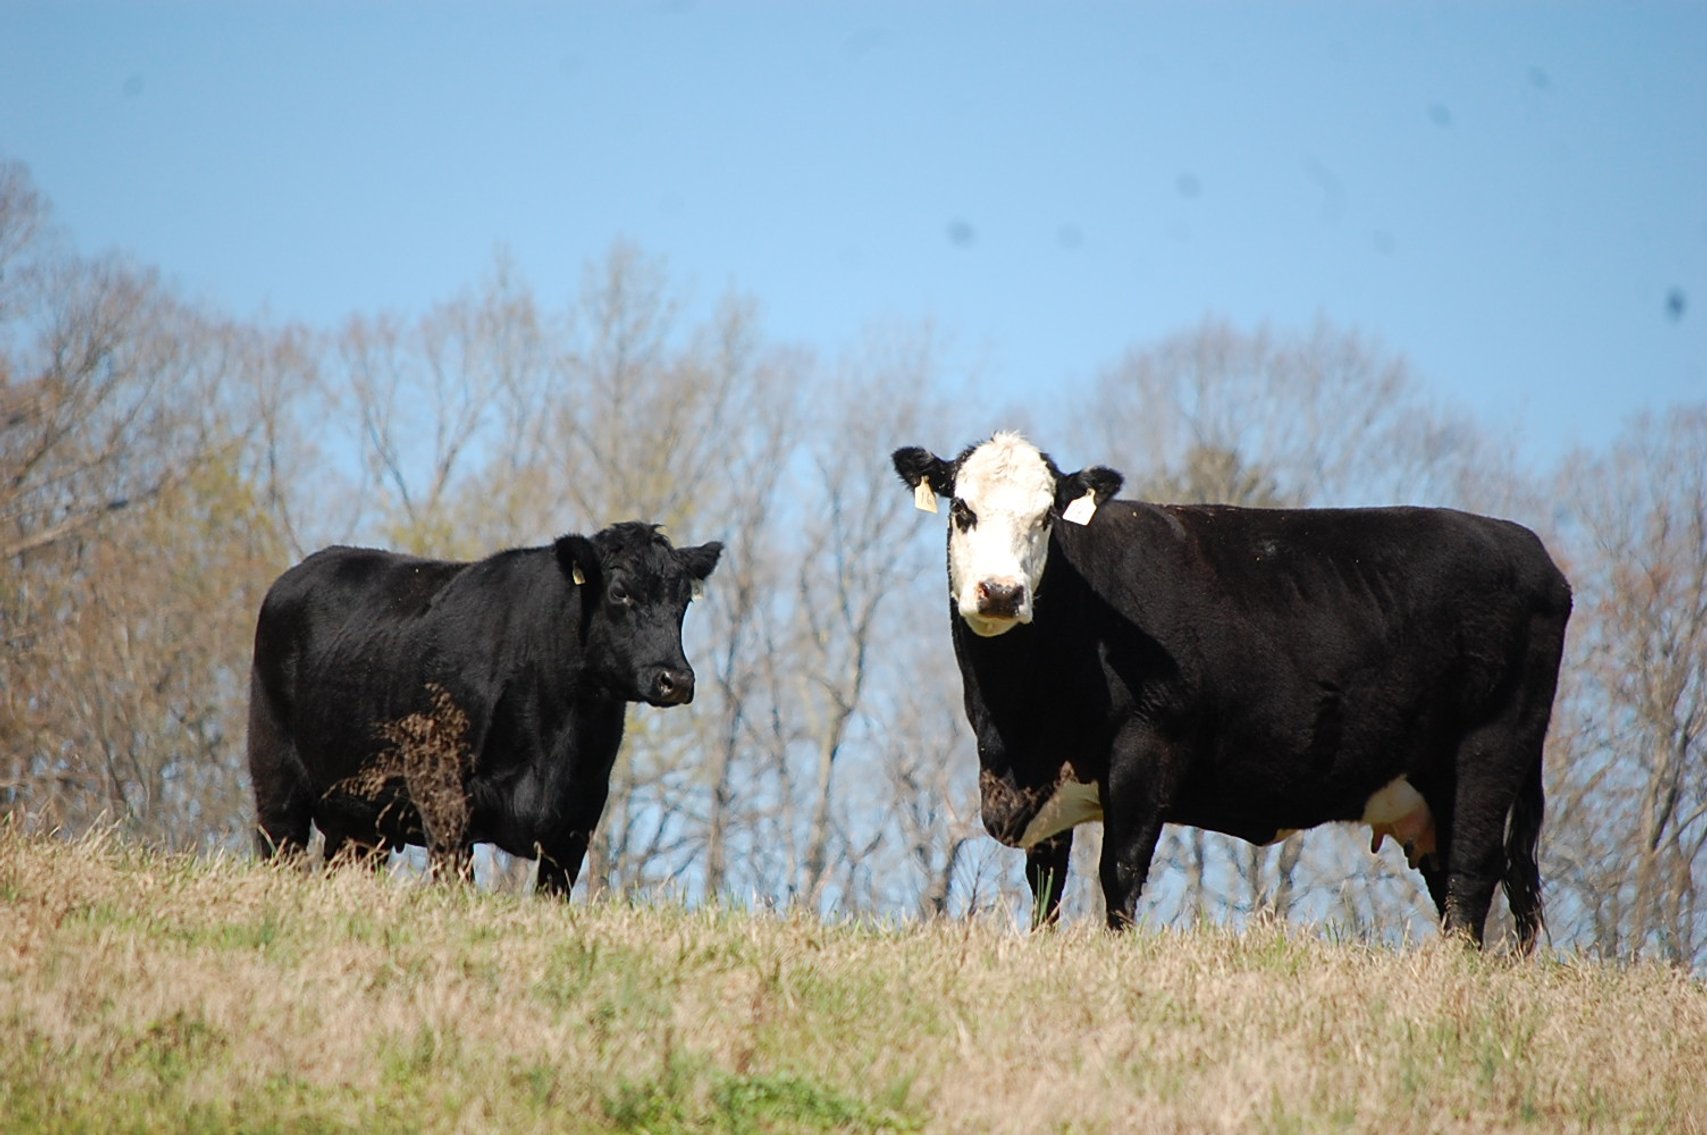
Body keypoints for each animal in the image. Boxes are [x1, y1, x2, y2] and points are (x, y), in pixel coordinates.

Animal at [246, 521, 722, 895]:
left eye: (684, 600)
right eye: (620, 592)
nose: (676, 679)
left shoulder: (581, 810)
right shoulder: (441, 787)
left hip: (358, 819)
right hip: (275, 775)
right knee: (279, 845)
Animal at [893, 432, 1571, 950]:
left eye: (1044, 519)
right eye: (962, 510)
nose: (1001, 592)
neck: (1015, 728)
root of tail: (1530, 551)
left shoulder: (1148, 745)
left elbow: (1119, 871)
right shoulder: (1047, 779)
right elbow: (1045, 887)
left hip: (1492, 747)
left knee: (1473, 873)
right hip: (1434, 786)